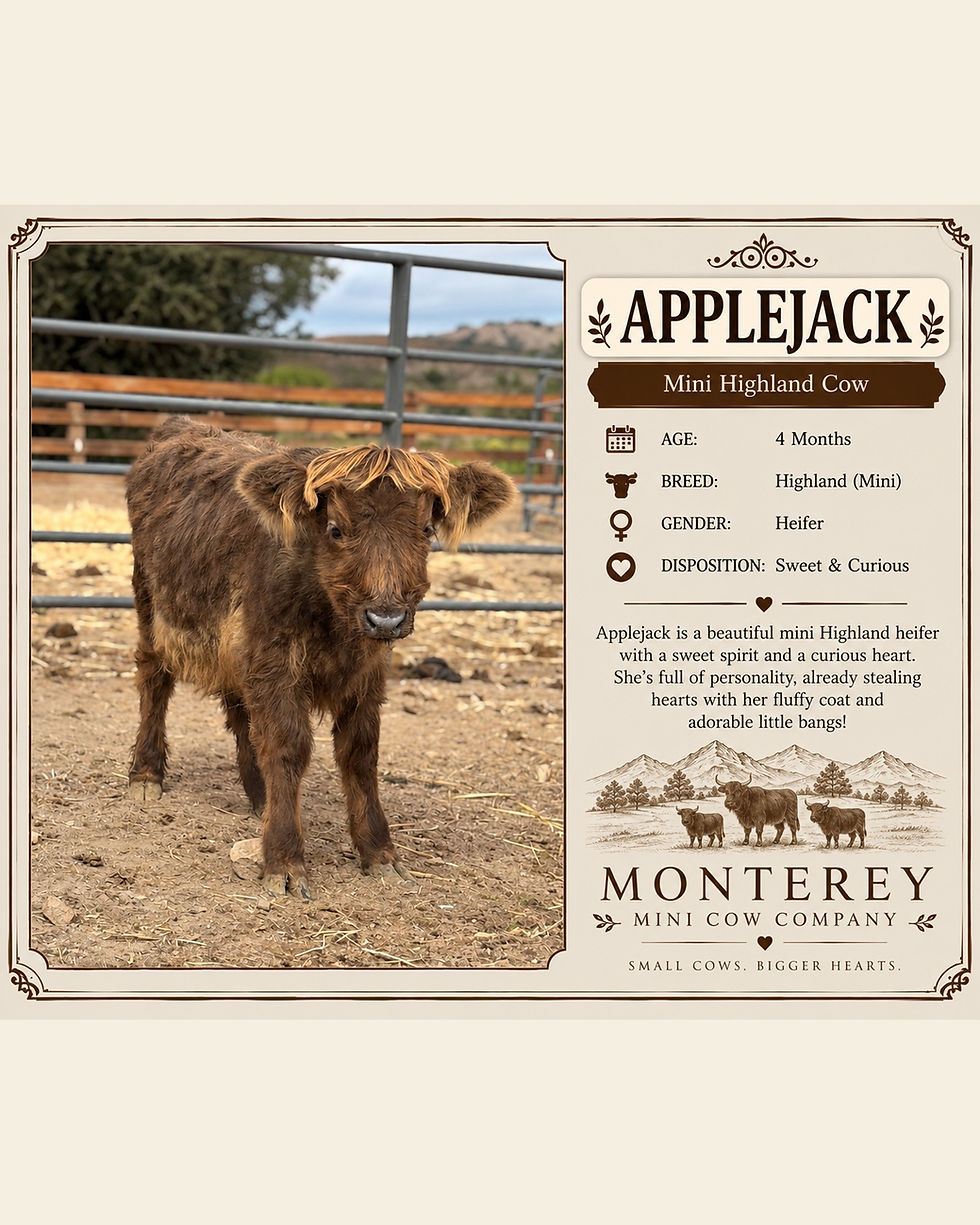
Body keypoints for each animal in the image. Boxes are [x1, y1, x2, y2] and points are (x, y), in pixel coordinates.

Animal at [125, 417, 514, 900]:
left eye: (426, 530)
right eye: (336, 529)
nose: (385, 618)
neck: (331, 618)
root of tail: (184, 425)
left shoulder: (366, 672)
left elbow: (360, 752)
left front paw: (378, 853)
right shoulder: (273, 657)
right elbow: (288, 745)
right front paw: (284, 859)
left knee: (240, 713)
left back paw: (259, 797)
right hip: (151, 608)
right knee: (154, 680)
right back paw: (146, 775)